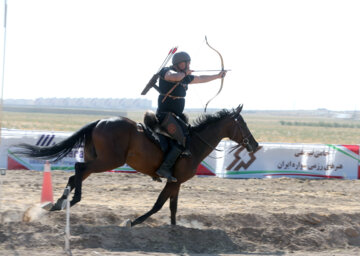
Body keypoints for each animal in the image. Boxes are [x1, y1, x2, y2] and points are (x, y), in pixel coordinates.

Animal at [14, 104, 256, 226]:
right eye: (242, 124)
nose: (254, 144)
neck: (194, 143)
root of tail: (100, 121)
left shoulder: (176, 182)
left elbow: (172, 207)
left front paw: (174, 229)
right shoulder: (173, 181)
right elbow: (159, 204)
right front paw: (136, 221)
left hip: (97, 159)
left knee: (76, 174)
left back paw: (58, 204)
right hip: (108, 160)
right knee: (79, 169)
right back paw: (72, 200)